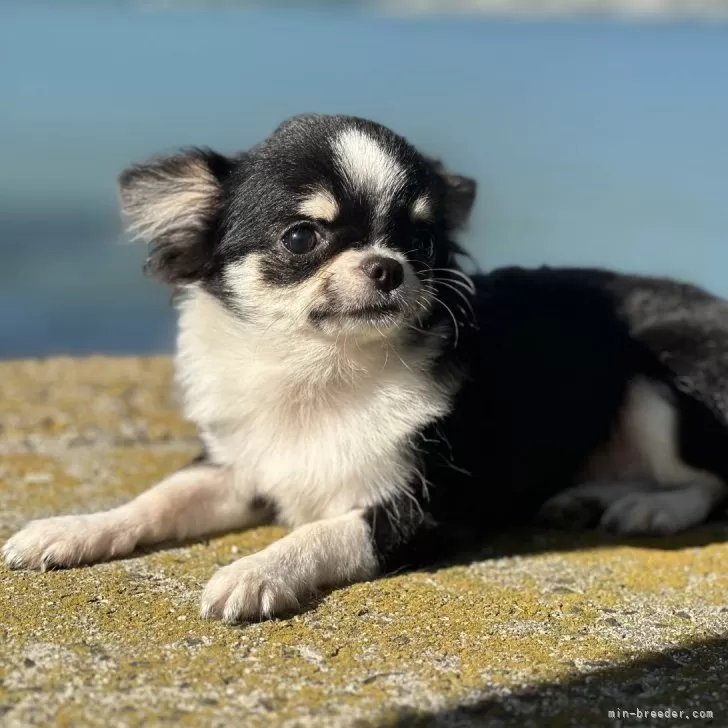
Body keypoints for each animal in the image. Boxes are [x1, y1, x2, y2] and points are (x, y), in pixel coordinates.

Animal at [4, 115, 728, 624]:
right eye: (302, 237)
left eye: (420, 242)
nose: (387, 266)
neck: (319, 372)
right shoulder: (240, 469)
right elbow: (157, 499)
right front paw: (74, 529)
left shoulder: (423, 510)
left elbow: (324, 531)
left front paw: (257, 570)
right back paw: (587, 497)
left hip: (662, 382)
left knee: (709, 482)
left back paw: (649, 508)